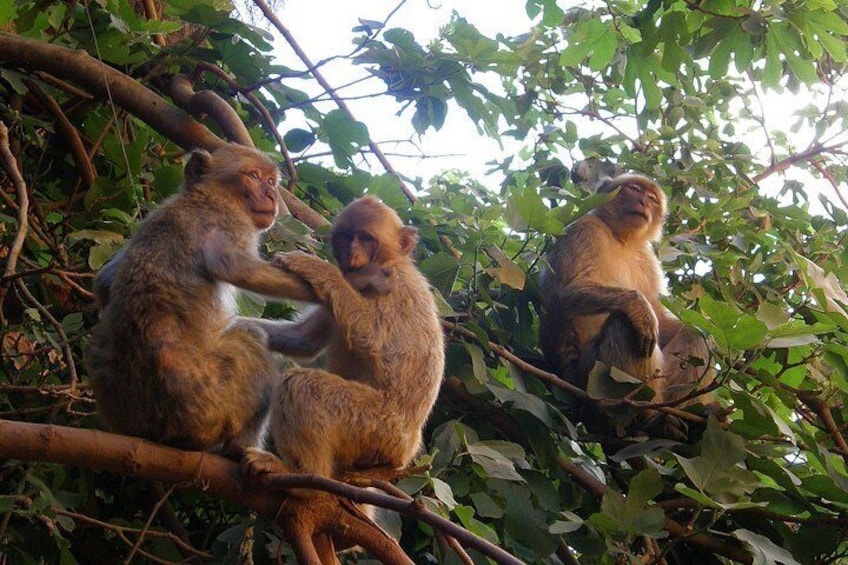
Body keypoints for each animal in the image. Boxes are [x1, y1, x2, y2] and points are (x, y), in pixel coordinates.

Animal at [86, 142, 318, 454]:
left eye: (271, 181)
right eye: (253, 176)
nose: (272, 195)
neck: (203, 197)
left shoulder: (152, 216)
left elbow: (104, 281)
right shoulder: (226, 222)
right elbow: (235, 268)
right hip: (212, 403)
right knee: (252, 339)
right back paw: (240, 450)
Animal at [240, 196, 448, 482]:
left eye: (366, 238)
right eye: (347, 236)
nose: (352, 253)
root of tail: (404, 454)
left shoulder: (397, 288)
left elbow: (374, 342)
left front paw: (317, 268)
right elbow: (305, 340)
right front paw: (239, 327)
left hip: (376, 427)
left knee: (303, 385)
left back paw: (303, 472)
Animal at [540, 174, 712, 434]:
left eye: (652, 199)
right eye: (635, 189)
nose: (644, 203)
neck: (621, 239)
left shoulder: (647, 258)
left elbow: (668, 322)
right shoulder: (584, 229)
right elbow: (562, 294)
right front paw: (638, 306)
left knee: (691, 335)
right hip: (588, 380)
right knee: (624, 323)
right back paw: (644, 419)